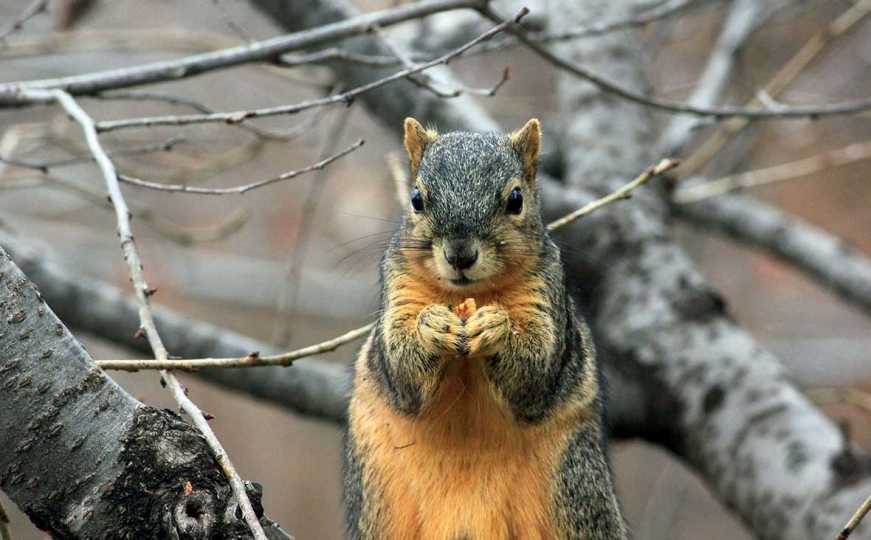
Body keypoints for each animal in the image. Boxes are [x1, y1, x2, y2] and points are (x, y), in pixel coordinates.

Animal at [344, 118, 632, 540]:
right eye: (416, 199)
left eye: (515, 199)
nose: (460, 254)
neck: (469, 295)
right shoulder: (398, 290)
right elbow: (402, 370)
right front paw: (432, 326)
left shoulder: (545, 295)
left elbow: (535, 373)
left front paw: (497, 328)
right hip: (376, 499)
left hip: (575, 486)